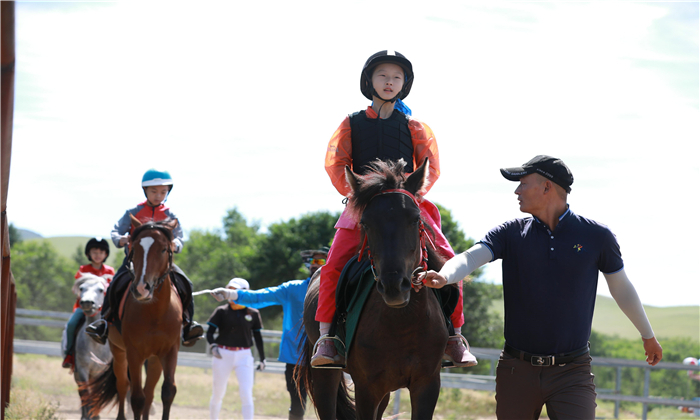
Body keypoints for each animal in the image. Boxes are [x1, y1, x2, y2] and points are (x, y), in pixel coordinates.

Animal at [85, 217, 185, 420]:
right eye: (135, 248)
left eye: (164, 249)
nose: (141, 289)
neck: (155, 313)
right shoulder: (134, 353)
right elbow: (137, 397)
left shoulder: (170, 351)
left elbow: (167, 391)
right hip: (119, 352)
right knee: (123, 385)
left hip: (154, 359)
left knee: (150, 391)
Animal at [296, 158, 456, 420]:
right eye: (365, 223)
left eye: (415, 219)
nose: (394, 286)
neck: (403, 323)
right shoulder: (366, 388)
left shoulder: (427, 384)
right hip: (325, 375)